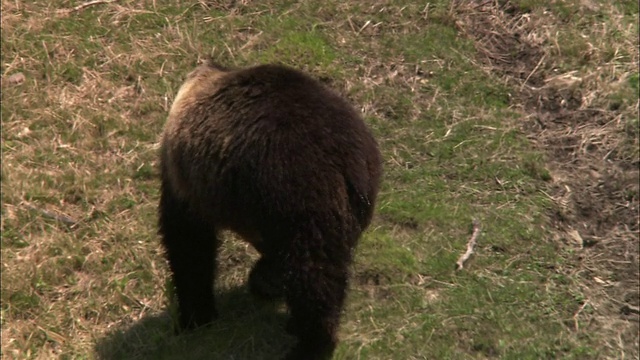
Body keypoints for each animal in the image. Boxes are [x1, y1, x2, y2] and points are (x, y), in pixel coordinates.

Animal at [158, 60, 382, 358]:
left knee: (313, 275)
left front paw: (195, 315)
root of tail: (345, 165)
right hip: (355, 203)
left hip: (300, 197)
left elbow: (189, 246)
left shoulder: (186, 184)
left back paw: (310, 343)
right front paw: (266, 280)